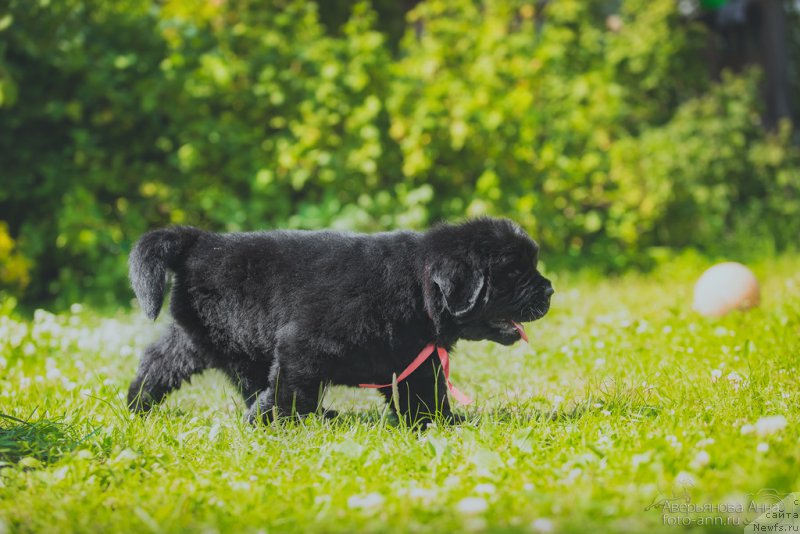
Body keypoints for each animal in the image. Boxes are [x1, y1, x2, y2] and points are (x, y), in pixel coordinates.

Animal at [126, 218, 552, 428]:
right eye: (514, 272)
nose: (550, 289)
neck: (416, 286)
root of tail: (200, 240)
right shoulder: (303, 344)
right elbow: (288, 390)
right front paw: (270, 425)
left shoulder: (416, 360)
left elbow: (425, 395)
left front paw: (442, 424)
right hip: (233, 338)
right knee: (249, 381)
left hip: (201, 337)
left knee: (160, 360)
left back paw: (137, 403)